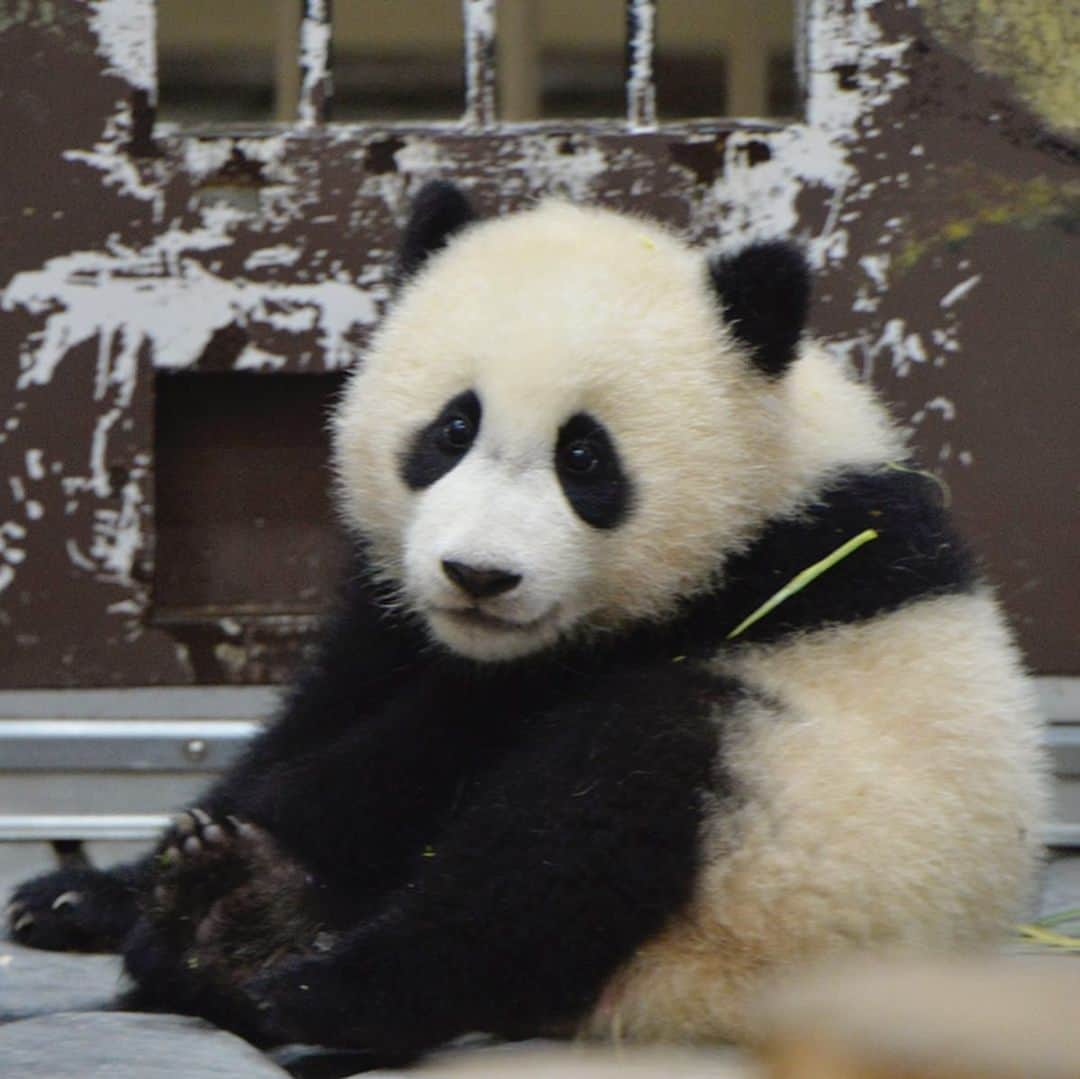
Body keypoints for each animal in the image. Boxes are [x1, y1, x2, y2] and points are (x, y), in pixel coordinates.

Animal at [6, 181, 1045, 1049]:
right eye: (452, 428)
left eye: (584, 457)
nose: (479, 574)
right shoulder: (392, 609)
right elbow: (324, 710)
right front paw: (86, 894)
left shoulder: (738, 588)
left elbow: (416, 758)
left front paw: (188, 888)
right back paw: (238, 919)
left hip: (794, 857)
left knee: (583, 822)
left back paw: (292, 965)